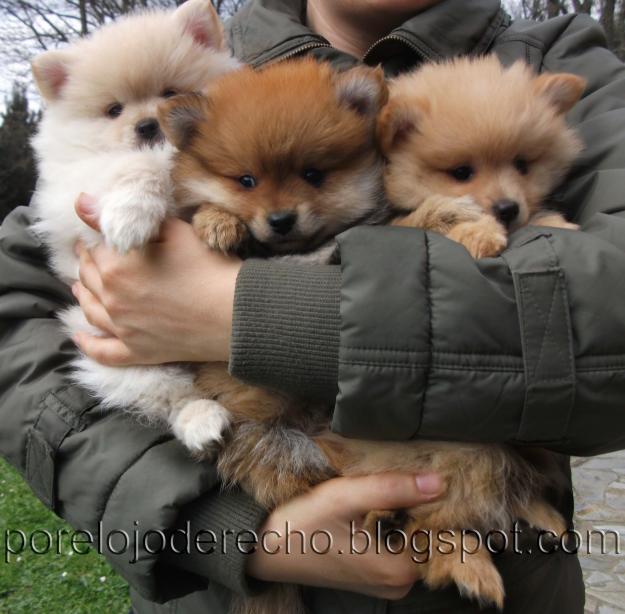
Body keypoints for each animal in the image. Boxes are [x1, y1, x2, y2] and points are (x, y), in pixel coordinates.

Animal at [31, 0, 241, 452]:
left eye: (170, 93)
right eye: (114, 110)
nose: (147, 125)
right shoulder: (73, 189)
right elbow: (136, 165)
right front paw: (130, 217)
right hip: (116, 354)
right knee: (172, 394)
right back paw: (202, 421)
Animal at [316, 56, 584, 612]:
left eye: (523, 164)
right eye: (462, 172)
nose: (507, 207)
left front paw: (554, 224)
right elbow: (440, 218)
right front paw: (480, 232)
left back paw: (540, 518)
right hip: (435, 460)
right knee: (434, 526)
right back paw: (448, 553)